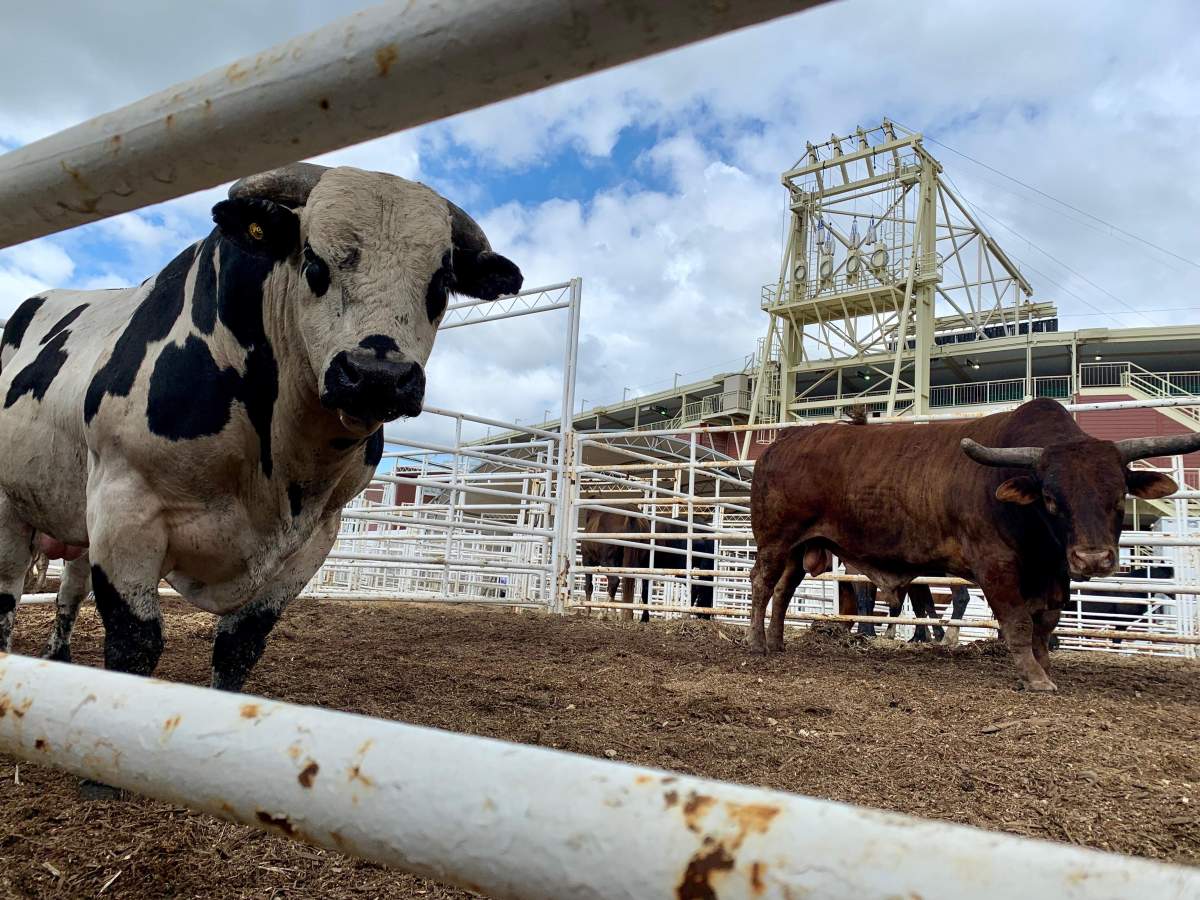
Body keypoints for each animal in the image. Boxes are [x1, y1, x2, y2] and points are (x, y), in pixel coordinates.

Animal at [0, 163, 522, 694]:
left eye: (441, 283)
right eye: (313, 262)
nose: (377, 376)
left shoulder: (311, 540)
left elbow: (238, 648)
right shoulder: (125, 512)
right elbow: (135, 644)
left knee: (68, 592)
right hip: (11, 511)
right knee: (6, 600)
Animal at [749, 398, 1196, 690]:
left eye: (1119, 496)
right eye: (1051, 498)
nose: (1093, 558)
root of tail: (779, 443)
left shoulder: (1053, 574)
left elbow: (1045, 624)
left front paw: (1044, 667)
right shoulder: (996, 567)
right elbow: (1018, 623)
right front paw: (1035, 679)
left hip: (799, 546)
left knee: (784, 590)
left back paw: (777, 642)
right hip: (774, 539)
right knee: (762, 584)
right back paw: (756, 645)